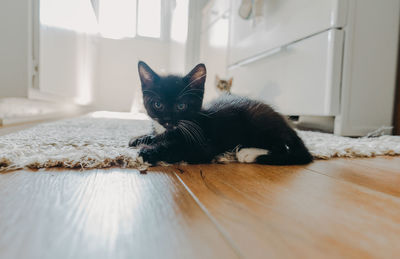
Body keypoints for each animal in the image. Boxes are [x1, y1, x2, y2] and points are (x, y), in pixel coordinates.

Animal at [130, 62, 314, 166]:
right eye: (158, 104)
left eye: (181, 106)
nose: (167, 120)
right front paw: (141, 138)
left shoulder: (203, 145)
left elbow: (178, 149)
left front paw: (148, 153)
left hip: (257, 121)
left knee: (284, 148)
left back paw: (248, 153)